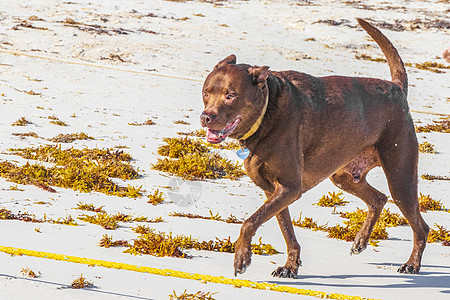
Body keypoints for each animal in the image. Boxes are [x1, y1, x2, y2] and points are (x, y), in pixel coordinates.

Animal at [200, 17, 428, 278]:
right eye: (206, 92)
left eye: (230, 95)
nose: (205, 117)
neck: (267, 112)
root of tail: (397, 88)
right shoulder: (274, 191)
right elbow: (287, 231)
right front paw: (290, 266)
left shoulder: (289, 188)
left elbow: (250, 222)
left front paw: (242, 258)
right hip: (343, 175)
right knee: (378, 199)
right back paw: (361, 241)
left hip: (400, 177)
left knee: (421, 226)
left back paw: (412, 264)